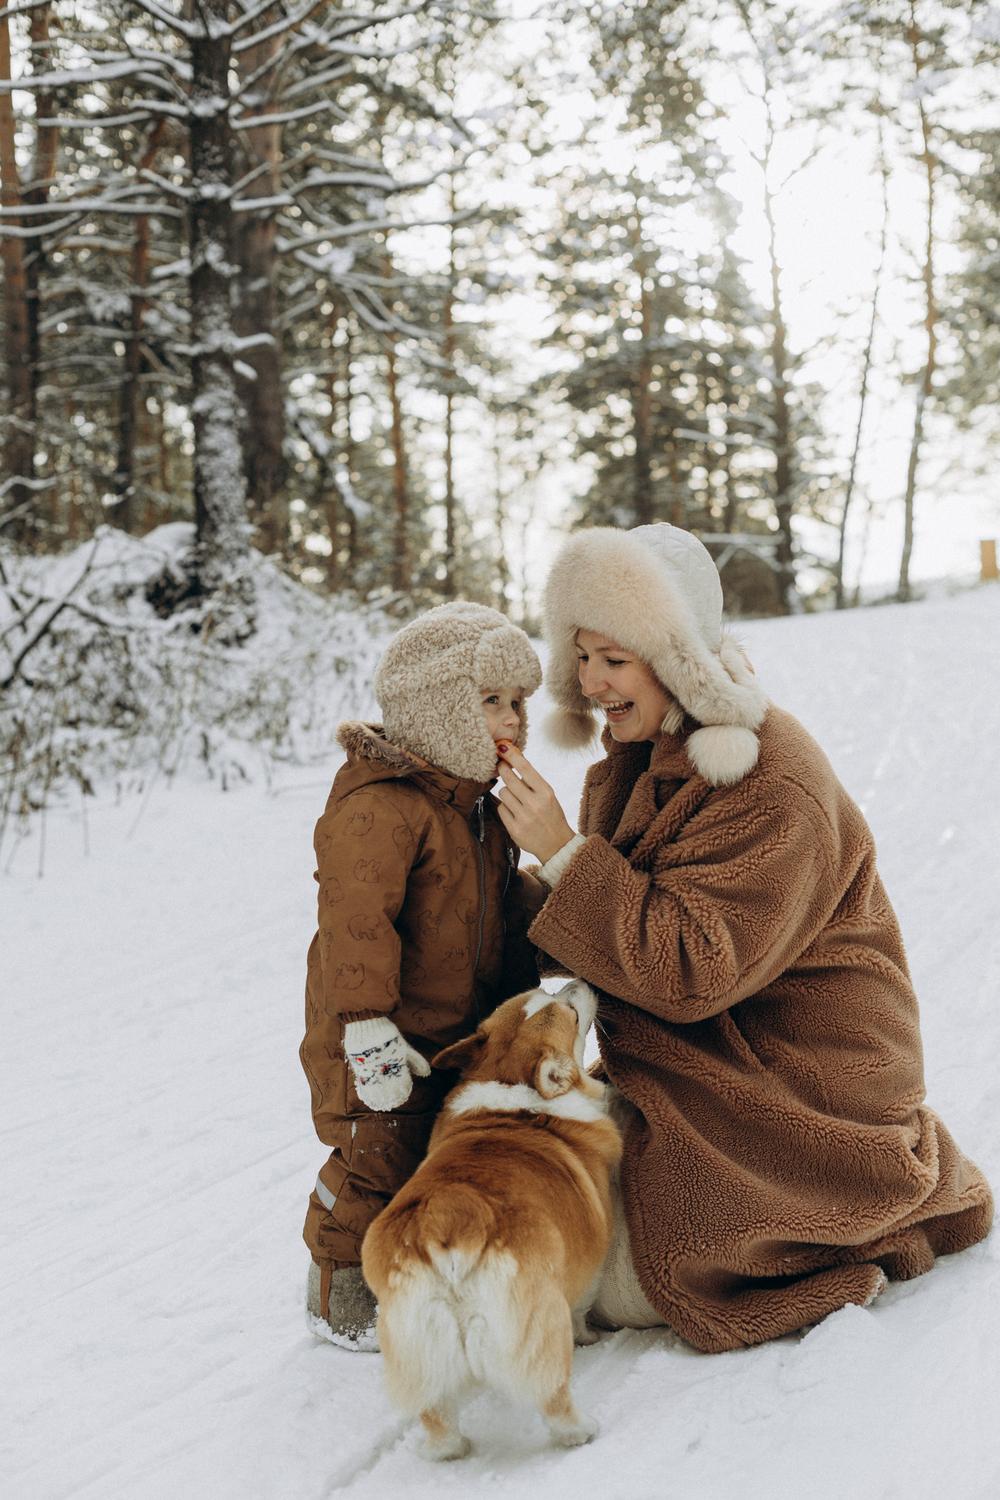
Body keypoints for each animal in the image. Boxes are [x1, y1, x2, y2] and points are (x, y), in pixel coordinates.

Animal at [364, 978, 620, 1458]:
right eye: (572, 1013)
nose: (582, 980)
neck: (511, 1081)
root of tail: (444, 1219)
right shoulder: (588, 1269)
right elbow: (583, 1308)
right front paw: (592, 1338)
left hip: (417, 1339)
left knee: (436, 1414)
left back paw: (450, 1449)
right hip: (539, 1319)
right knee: (552, 1391)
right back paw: (580, 1430)